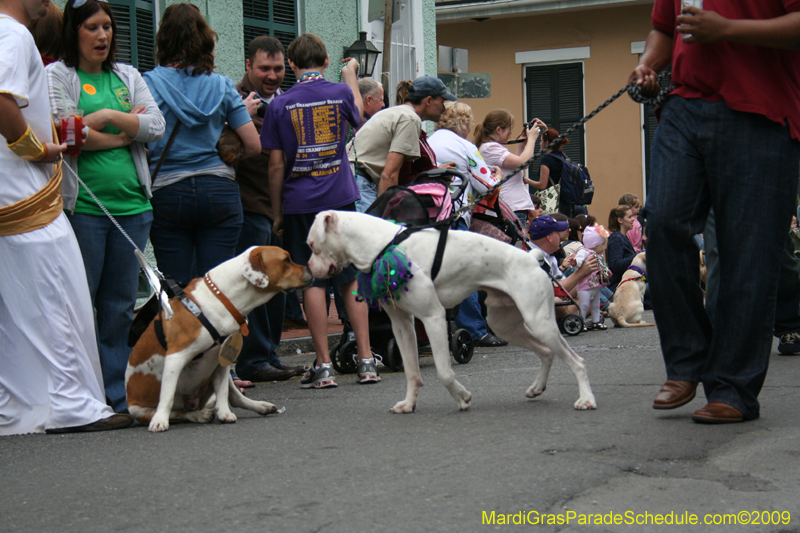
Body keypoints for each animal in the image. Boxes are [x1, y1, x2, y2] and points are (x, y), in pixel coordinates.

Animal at [125, 246, 312, 432]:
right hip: (138, 410)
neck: (222, 297)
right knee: (180, 413)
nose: (310, 269)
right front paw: (160, 420)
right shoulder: (175, 357)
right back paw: (197, 415)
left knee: (234, 397)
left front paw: (224, 412)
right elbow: (167, 395)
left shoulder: (221, 357)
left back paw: (259, 406)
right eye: (286, 260)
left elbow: (222, 391)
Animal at [306, 210, 592, 414]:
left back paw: (586, 399)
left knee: (576, 361)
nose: (308, 271)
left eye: (311, 244)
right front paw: (408, 404)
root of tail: (532, 257)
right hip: (505, 325)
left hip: (539, 321)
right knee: (546, 352)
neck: (383, 245)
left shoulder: (433, 317)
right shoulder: (402, 325)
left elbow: (443, 372)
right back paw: (537, 388)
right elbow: (411, 371)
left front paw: (462, 398)